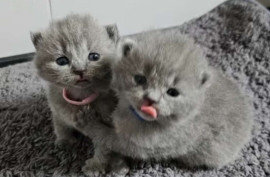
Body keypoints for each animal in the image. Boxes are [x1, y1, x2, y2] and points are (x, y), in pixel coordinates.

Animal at [31, 14, 128, 176]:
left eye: (94, 56)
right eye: (62, 60)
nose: (80, 70)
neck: (81, 97)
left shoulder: (104, 122)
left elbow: (104, 146)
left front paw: (95, 166)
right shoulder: (57, 108)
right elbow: (60, 125)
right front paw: (65, 141)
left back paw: (118, 166)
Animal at [77, 30, 254, 170]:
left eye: (172, 92)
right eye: (140, 79)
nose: (151, 99)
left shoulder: (136, 145)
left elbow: (105, 135)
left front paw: (87, 121)